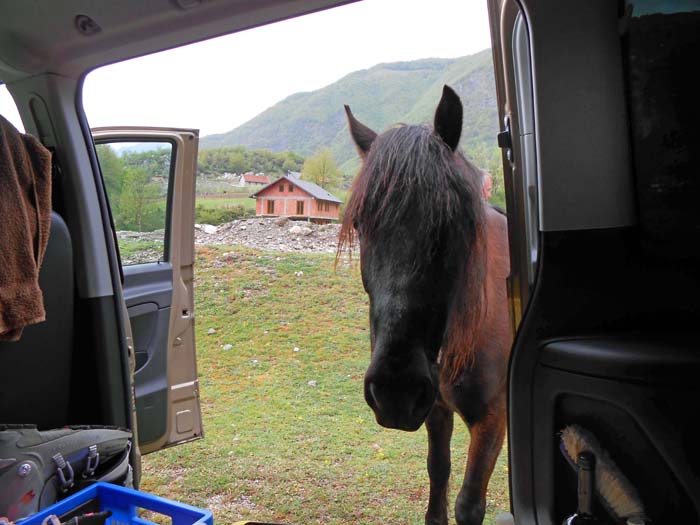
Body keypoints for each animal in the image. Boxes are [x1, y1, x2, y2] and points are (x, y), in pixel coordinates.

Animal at [338, 84, 508, 520]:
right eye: (360, 224)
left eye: (451, 224)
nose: (395, 391)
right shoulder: (435, 408)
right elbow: (438, 472)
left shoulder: (491, 418)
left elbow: (468, 503)